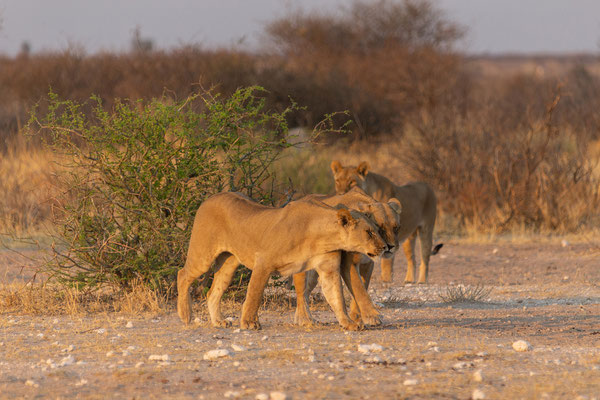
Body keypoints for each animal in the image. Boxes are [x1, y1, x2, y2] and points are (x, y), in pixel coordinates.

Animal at [176, 192, 390, 330]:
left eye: (377, 230)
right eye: (369, 232)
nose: (384, 247)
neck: (321, 236)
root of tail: (209, 199)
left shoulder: (328, 268)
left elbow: (336, 296)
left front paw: (348, 323)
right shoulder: (263, 262)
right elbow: (254, 294)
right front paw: (249, 323)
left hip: (229, 262)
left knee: (213, 291)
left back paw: (218, 321)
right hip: (203, 255)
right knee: (183, 274)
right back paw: (185, 315)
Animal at [292, 189, 400, 326]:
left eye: (396, 228)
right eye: (379, 229)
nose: (390, 247)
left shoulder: (367, 264)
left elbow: (362, 287)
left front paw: (357, 316)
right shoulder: (348, 263)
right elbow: (359, 289)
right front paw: (372, 316)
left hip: (316, 273)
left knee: (306, 292)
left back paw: (299, 318)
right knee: (301, 292)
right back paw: (305, 319)